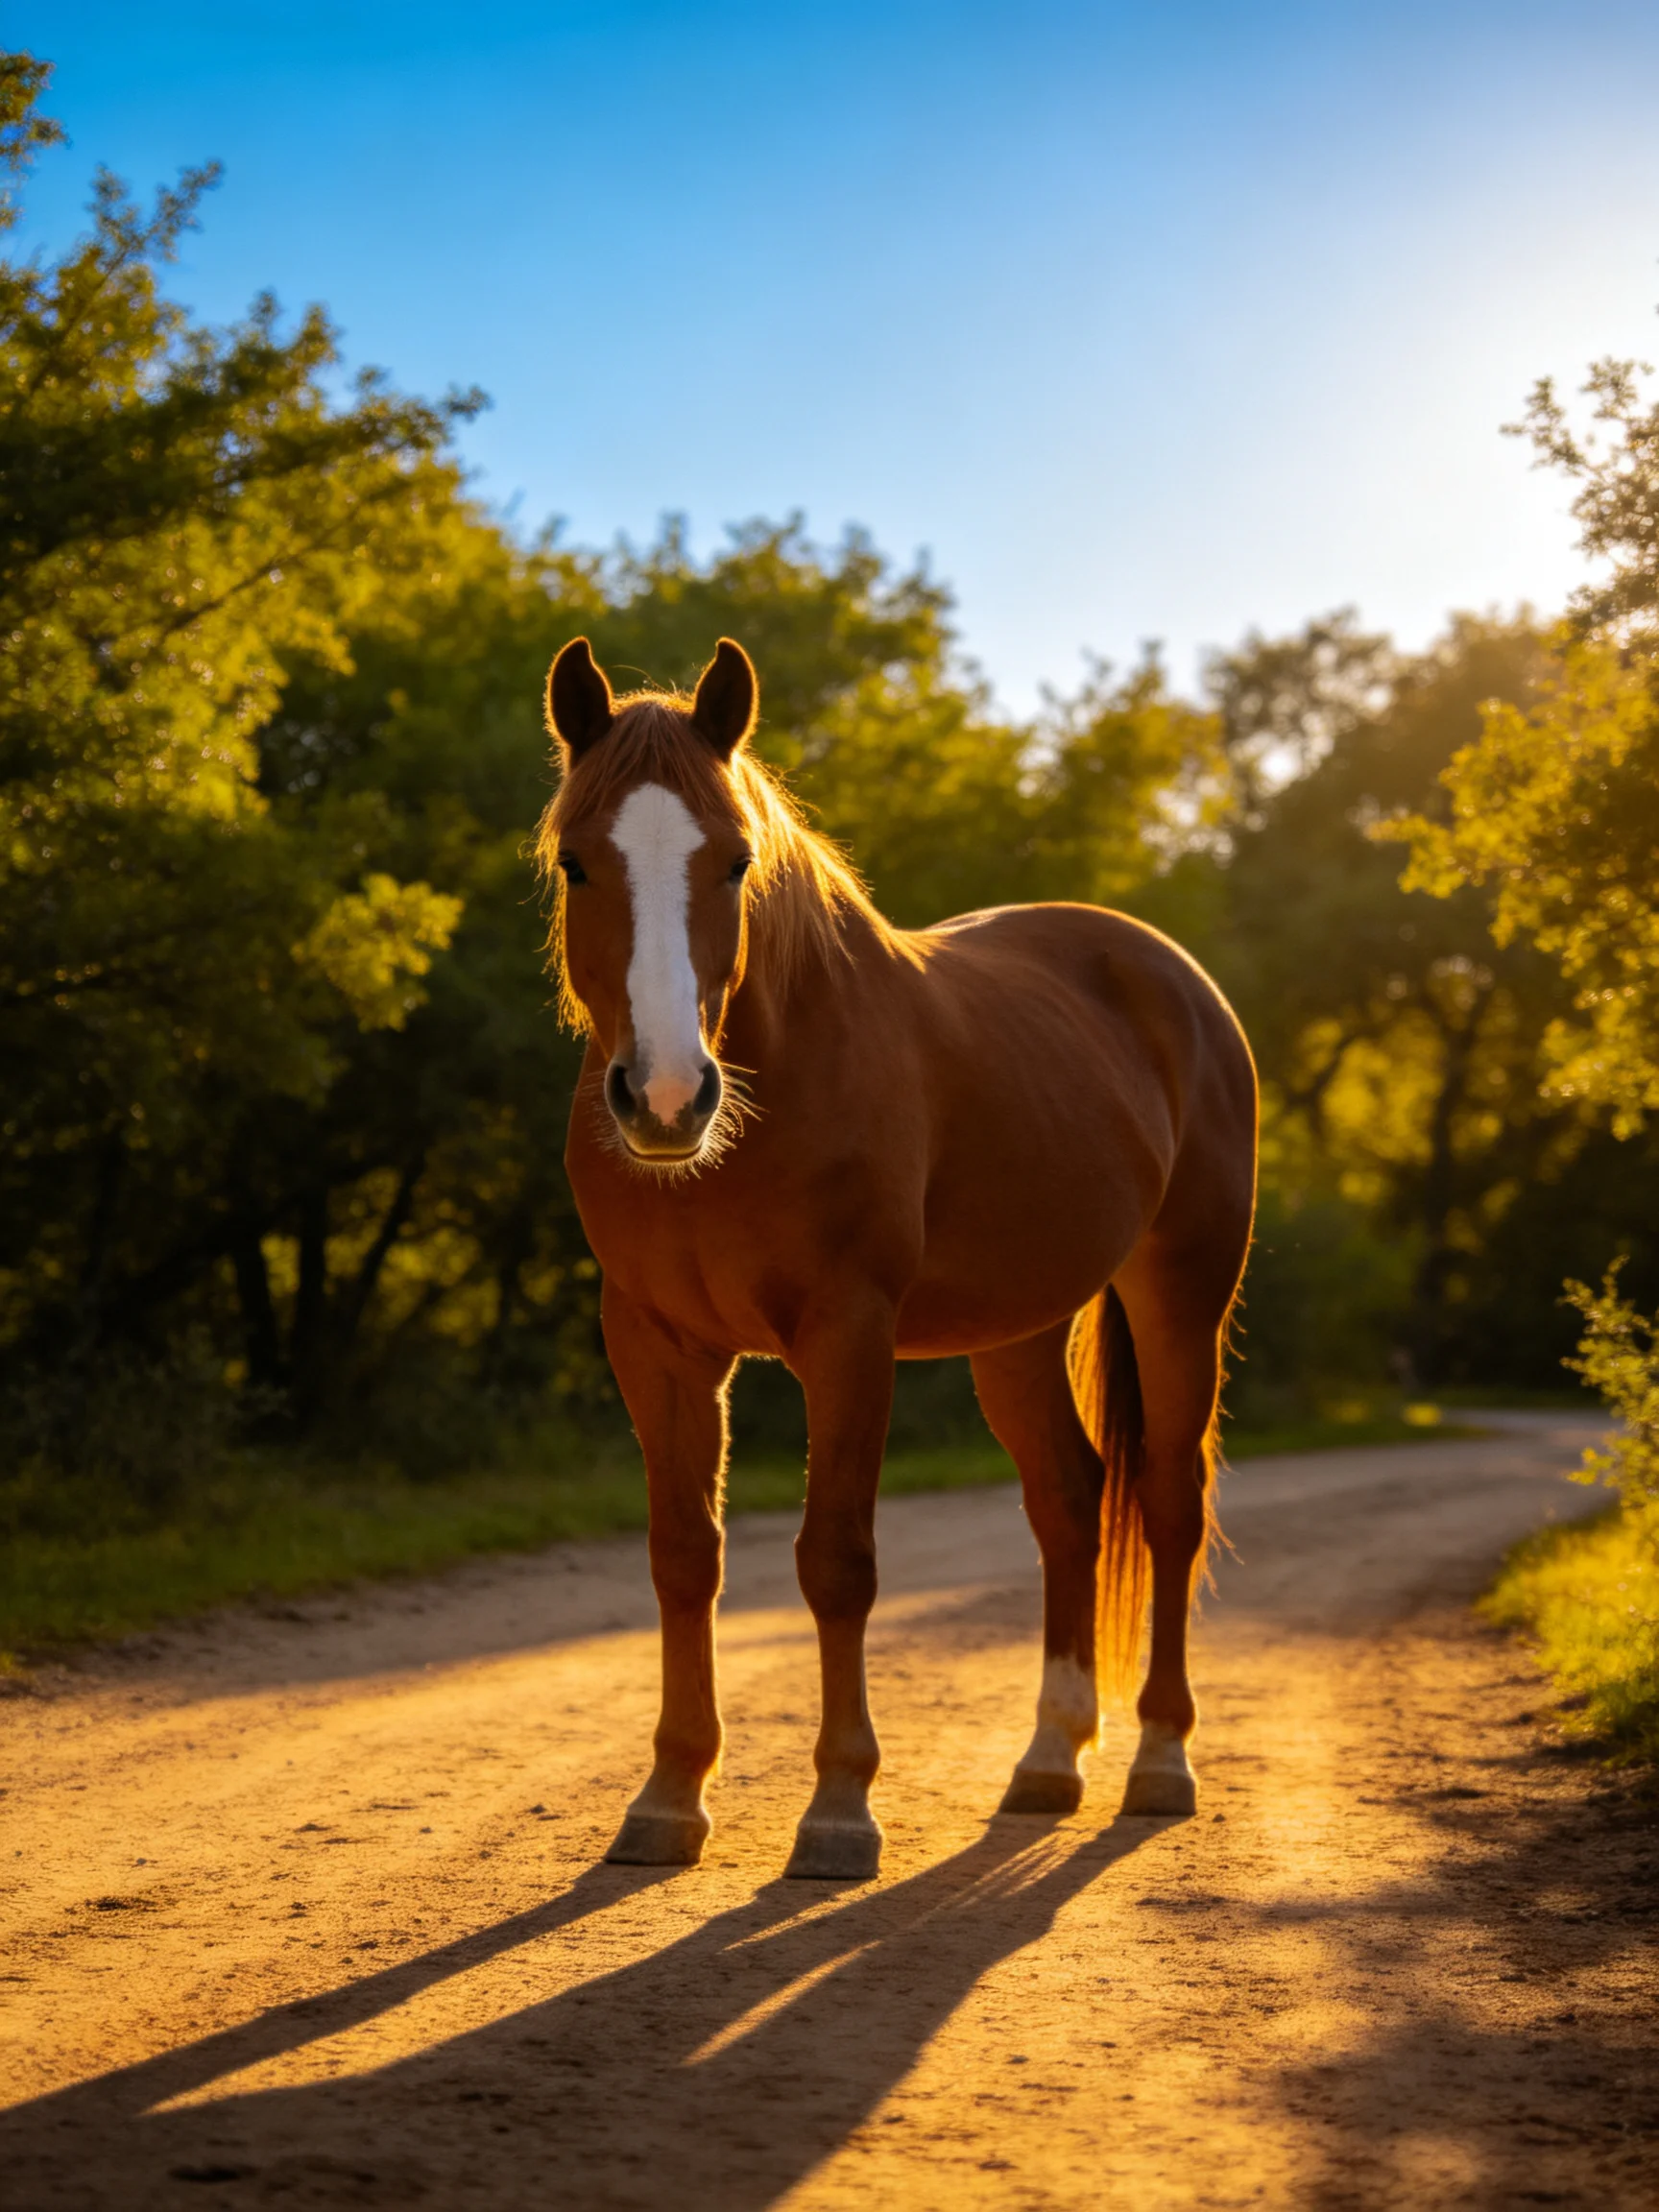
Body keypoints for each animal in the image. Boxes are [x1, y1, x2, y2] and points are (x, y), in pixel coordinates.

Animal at [537, 635, 1257, 1881]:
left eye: (735, 862)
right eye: (580, 863)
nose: (667, 1099)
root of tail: (1178, 979)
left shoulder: (848, 1337)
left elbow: (838, 1561)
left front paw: (838, 1810)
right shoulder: (656, 1344)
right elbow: (684, 1558)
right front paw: (669, 1797)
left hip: (1181, 1295)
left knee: (1170, 1501)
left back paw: (1161, 1760)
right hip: (1018, 1331)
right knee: (1068, 1501)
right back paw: (1050, 1757)